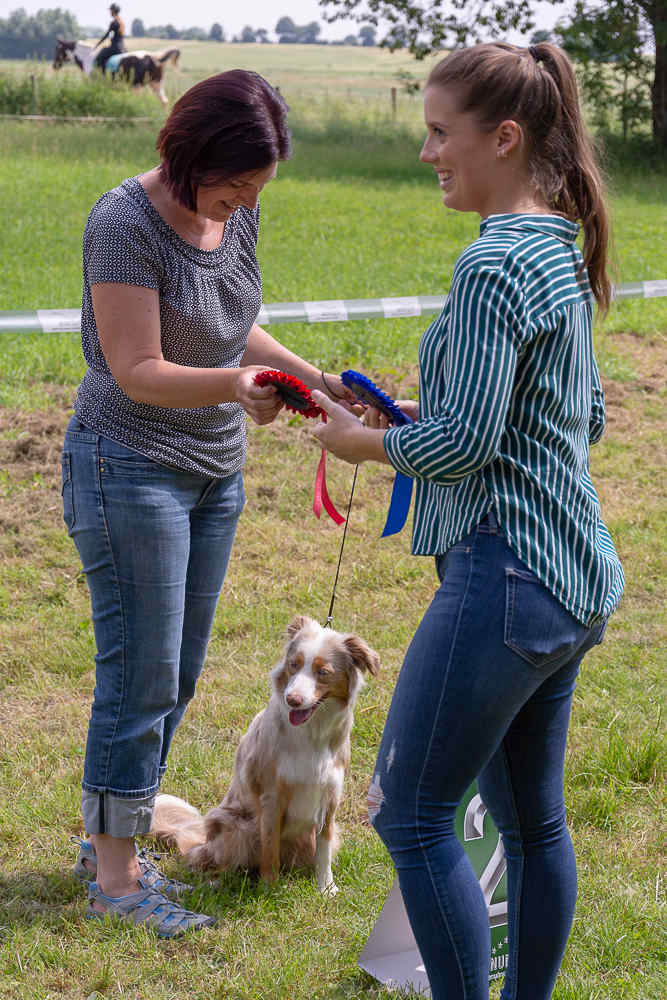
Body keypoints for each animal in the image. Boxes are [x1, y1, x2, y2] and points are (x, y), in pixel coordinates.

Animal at [153, 612, 380, 896]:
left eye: (323, 672)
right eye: (294, 665)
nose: (293, 699)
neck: (313, 733)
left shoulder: (330, 797)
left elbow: (324, 849)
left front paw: (326, 889)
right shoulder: (272, 797)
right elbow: (270, 849)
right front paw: (269, 890)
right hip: (238, 827)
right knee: (215, 862)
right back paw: (214, 883)